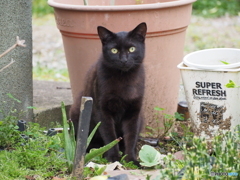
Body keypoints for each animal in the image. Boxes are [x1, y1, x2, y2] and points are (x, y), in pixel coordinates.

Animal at [70, 21, 146, 165]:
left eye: (132, 49)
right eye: (114, 50)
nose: (124, 60)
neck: (124, 79)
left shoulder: (134, 111)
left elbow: (131, 136)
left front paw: (131, 159)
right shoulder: (102, 110)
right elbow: (110, 135)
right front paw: (113, 157)